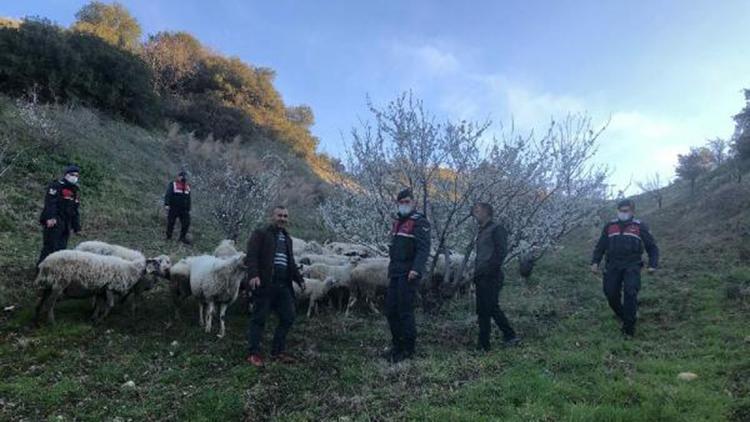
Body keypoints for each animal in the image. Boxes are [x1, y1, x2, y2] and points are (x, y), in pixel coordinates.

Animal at [34, 249, 162, 324]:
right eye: (156, 263)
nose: (162, 274)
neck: (130, 269)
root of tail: (45, 263)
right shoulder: (110, 287)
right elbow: (110, 304)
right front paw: (101, 319)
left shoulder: (101, 289)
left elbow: (99, 304)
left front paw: (94, 317)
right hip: (59, 283)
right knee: (50, 302)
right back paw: (51, 321)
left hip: (50, 284)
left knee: (44, 298)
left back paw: (37, 315)